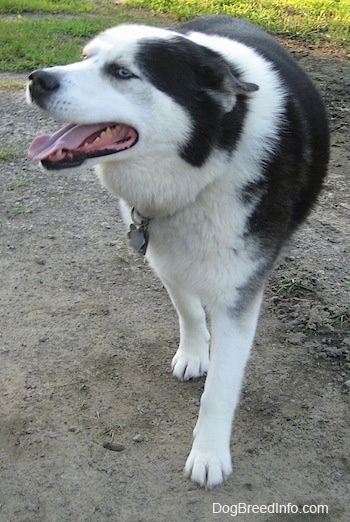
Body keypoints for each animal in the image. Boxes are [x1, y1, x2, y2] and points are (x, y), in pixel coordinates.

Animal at [26, 16, 328, 488]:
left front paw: (209, 454)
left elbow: (220, 389)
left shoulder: (238, 294)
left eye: (123, 72)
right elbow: (187, 309)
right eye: (85, 57)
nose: (37, 80)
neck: (209, 161)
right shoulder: (160, 250)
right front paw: (193, 353)